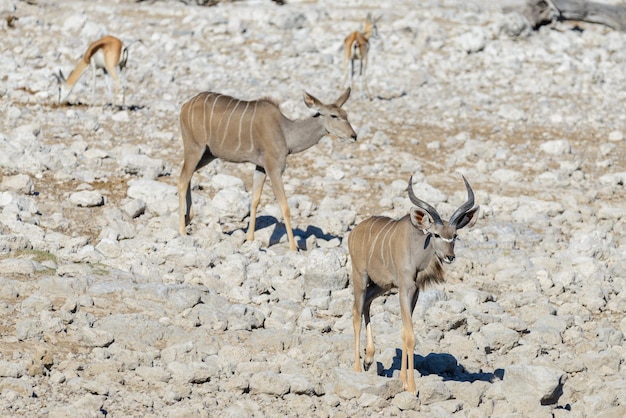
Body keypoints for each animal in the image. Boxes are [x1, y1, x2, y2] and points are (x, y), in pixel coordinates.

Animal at [179, 88, 356, 250]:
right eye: (334, 115)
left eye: (346, 114)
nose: (353, 136)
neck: (286, 133)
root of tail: (185, 106)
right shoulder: (274, 168)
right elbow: (285, 206)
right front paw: (294, 248)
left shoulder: (261, 167)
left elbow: (255, 199)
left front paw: (250, 239)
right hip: (195, 148)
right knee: (182, 180)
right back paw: (182, 231)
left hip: (208, 154)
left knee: (187, 177)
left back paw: (189, 218)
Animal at [346, 176, 478, 396]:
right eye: (435, 234)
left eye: (455, 236)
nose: (450, 257)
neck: (416, 252)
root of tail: (353, 232)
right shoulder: (404, 289)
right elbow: (410, 336)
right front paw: (411, 387)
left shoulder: (414, 291)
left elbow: (403, 331)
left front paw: (402, 380)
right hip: (360, 277)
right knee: (356, 313)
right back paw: (357, 367)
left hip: (380, 285)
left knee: (366, 304)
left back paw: (369, 358)